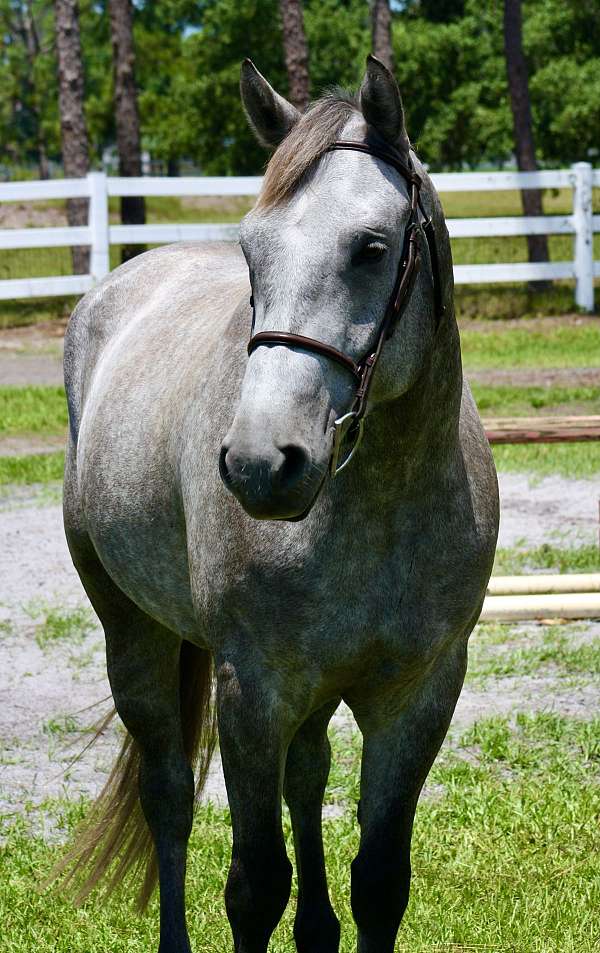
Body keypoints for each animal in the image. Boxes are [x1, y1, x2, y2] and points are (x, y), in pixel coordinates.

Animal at [59, 55, 498, 953]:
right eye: (251, 251)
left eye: (371, 248)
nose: (263, 464)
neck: (381, 501)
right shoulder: (252, 691)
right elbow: (255, 885)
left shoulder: (420, 694)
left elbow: (380, 882)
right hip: (134, 634)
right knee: (168, 795)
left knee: (307, 772)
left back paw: (318, 930)